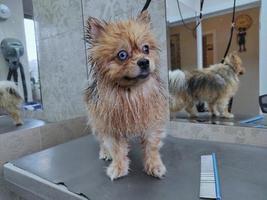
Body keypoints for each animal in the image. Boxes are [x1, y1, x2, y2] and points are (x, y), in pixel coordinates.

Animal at [84, 11, 168, 181]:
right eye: (122, 55)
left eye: (146, 49)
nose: (144, 62)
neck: (131, 92)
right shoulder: (111, 127)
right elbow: (116, 149)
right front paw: (118, 167)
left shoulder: (151, 123)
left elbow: (151, 147)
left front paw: (154, 166)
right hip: (97, 122)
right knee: (101, 140)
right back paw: (105, 152)